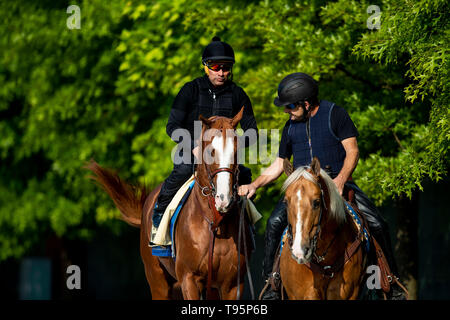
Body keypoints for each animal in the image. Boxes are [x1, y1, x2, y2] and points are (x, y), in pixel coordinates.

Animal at [86, 107, 251, 300]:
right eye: (210, 151)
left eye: (236, 151)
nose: (224, 199)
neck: (215, 223)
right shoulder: (189, 279)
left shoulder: (231, 285)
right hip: (158, 281)